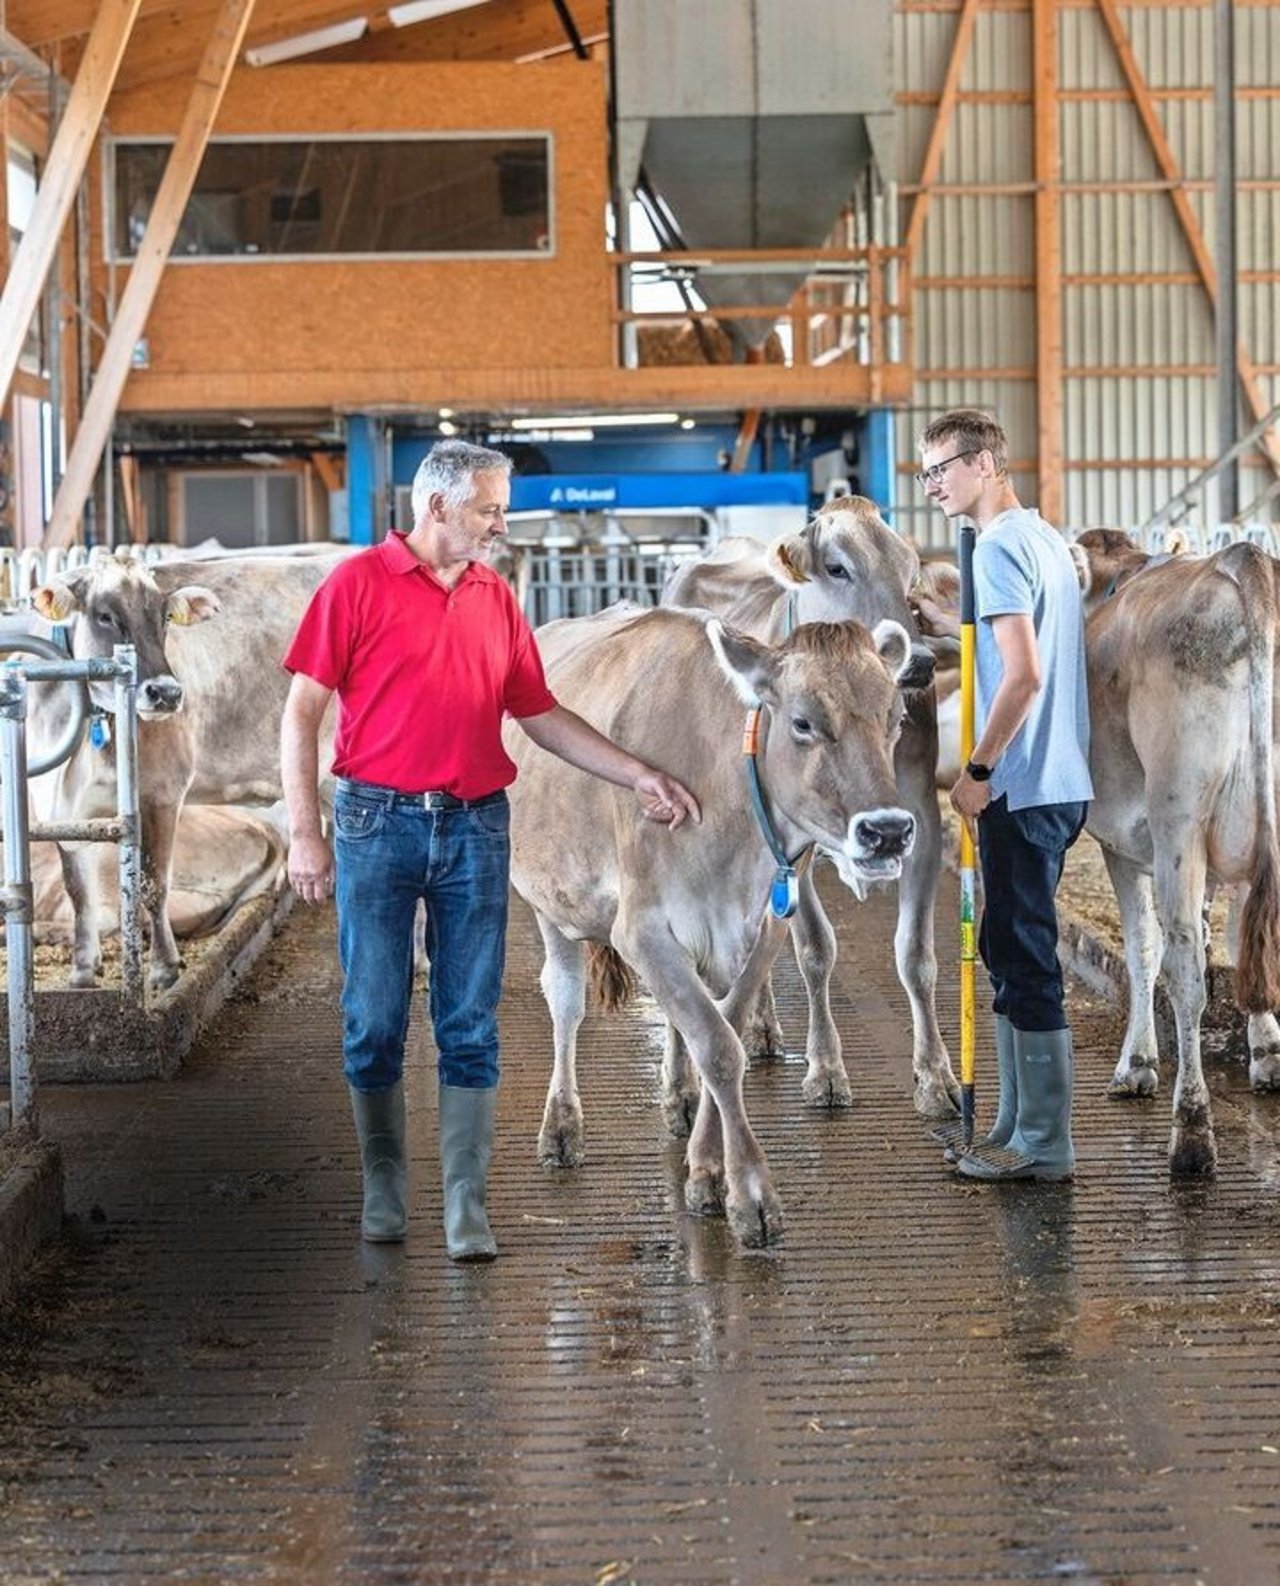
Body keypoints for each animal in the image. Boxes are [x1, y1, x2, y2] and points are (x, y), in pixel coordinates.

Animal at [30, 551, 345, 983]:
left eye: (165, 616)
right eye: (104, 615)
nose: (166, 693)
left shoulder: (161, 792)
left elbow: (152, 884)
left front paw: (164, 968)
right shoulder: (61, 809)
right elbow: (78, 889)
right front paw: (82, 972)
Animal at [504, 599, 913, 1243]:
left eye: (895, 717)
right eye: (803, 722)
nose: (889, 831)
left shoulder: (761, 925)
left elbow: (721, 1031)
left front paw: (707, 1169)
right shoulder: (640, 929)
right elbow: (718, 1045)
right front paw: (751, 1193)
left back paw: (680, 1097)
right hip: (549, 900)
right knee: (565, 1001)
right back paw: (562, 1125)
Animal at [659, 501, 964, 1122]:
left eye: (911, 575)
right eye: (837, 567)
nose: (921, 662)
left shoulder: (920, 819)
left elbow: (916, 956)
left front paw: (935, 1075)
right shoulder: (788, 839)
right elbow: (816, 951)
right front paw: (825, 1069)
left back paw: (761, 1027)